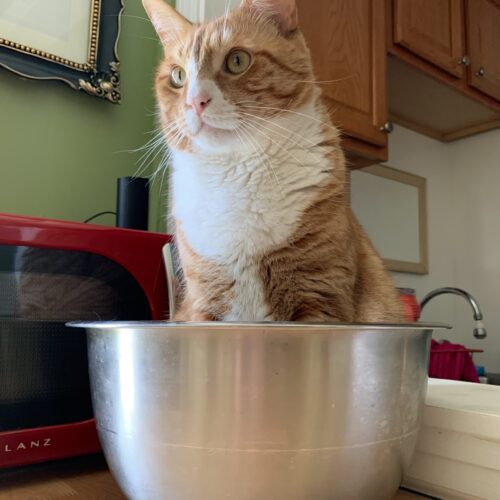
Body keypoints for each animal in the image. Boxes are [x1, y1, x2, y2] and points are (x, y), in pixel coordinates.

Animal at [143, 0, 404, 322]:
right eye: (178, 76)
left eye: (237, 60)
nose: (195, 102)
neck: (236, 171)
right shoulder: (202, 306)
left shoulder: (320, 296)